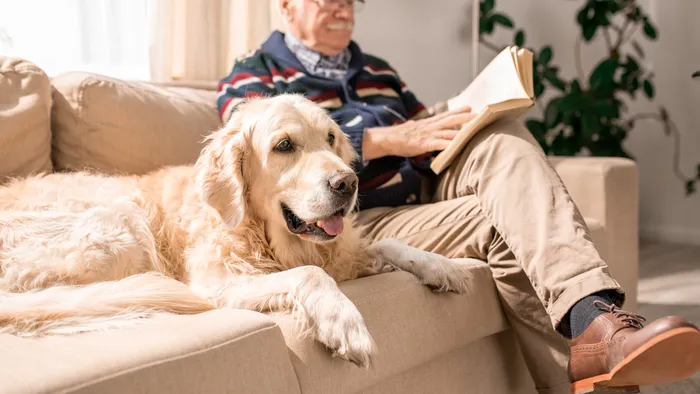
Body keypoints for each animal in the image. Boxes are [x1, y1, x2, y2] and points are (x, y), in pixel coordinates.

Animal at [0, 94, 474, 368]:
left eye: (331, 139)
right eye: (284, 146)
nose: (348, 183)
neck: (264, 234)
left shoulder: (341, 253)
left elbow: (388, 242)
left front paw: (443, 266)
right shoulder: (220, 282)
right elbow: (311, 274)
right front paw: (344, 321)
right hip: (121, 223)